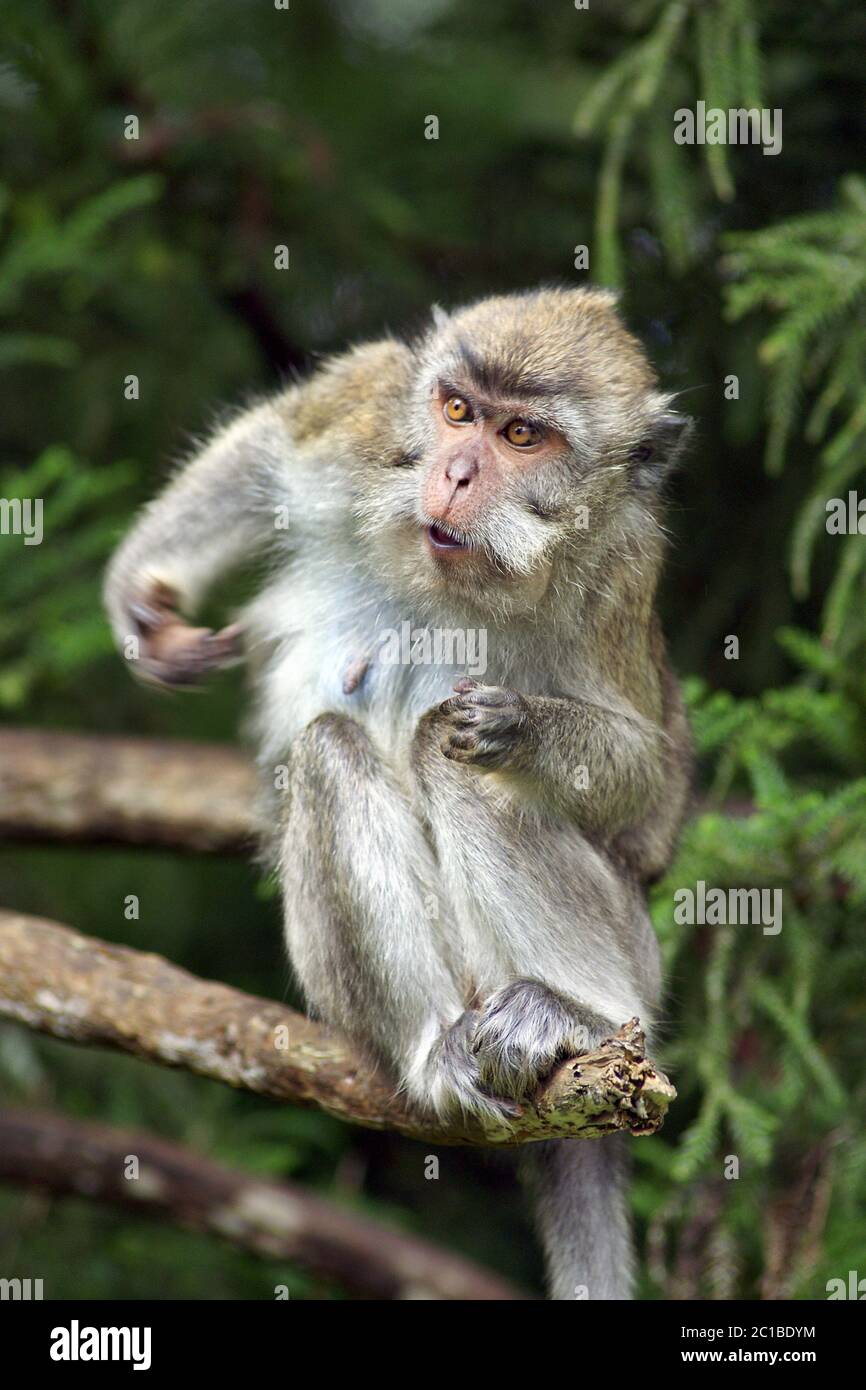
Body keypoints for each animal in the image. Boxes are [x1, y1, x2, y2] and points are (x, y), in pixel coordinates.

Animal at [105, 286, 693, 1301]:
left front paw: (523, 727)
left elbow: (648, 782)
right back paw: (433, 1049)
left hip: (637, 963)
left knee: (453, 761)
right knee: (331, 751)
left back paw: (571, 1018)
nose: (454, 472)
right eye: (457, 410)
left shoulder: (622, 574)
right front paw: (142, 600)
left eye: (523, 435)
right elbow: (270, 442)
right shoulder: (373, 418)